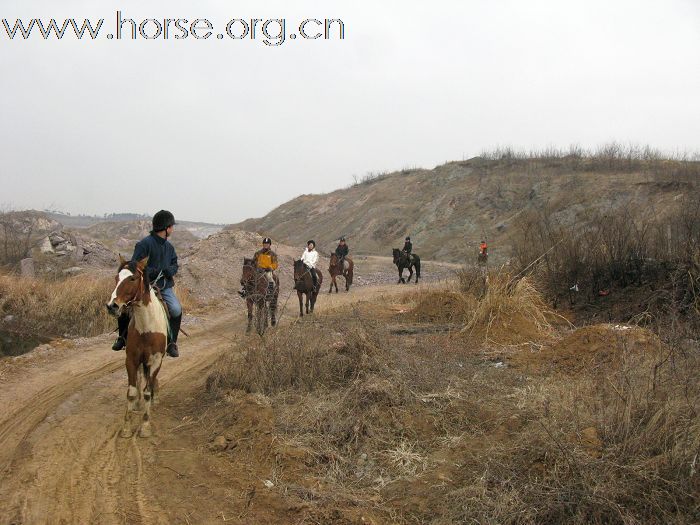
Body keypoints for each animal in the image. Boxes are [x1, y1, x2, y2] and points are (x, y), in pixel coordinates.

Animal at [105, 256, 168, 436]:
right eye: (116, 278)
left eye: (132, 278)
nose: (112, 306)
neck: (147, 326)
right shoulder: (131, 360)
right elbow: (131, 392)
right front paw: (126, 426)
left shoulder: (155, 361)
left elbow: (147, 391)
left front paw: (145, 426)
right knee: (141, 377)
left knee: (149, 382)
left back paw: (155, 396)